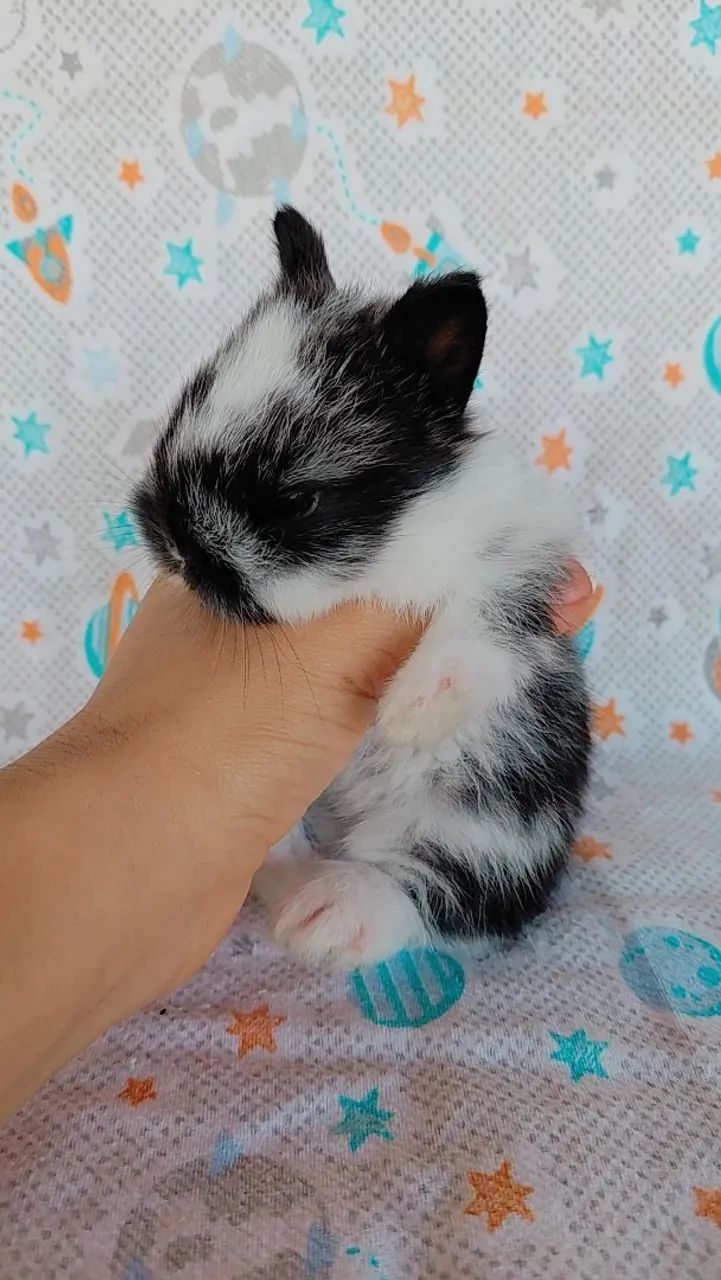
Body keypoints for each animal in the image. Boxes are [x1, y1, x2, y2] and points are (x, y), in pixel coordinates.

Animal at [131, 206, 591, 968]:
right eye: (175, 422)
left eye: (296, 502)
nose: (179, 546)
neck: (395, 544)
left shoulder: (518, 564)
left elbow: (481, 626)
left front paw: (415, 710)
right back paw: (288, 883)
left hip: (494, 825)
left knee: (443, 889)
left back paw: (327, 915)